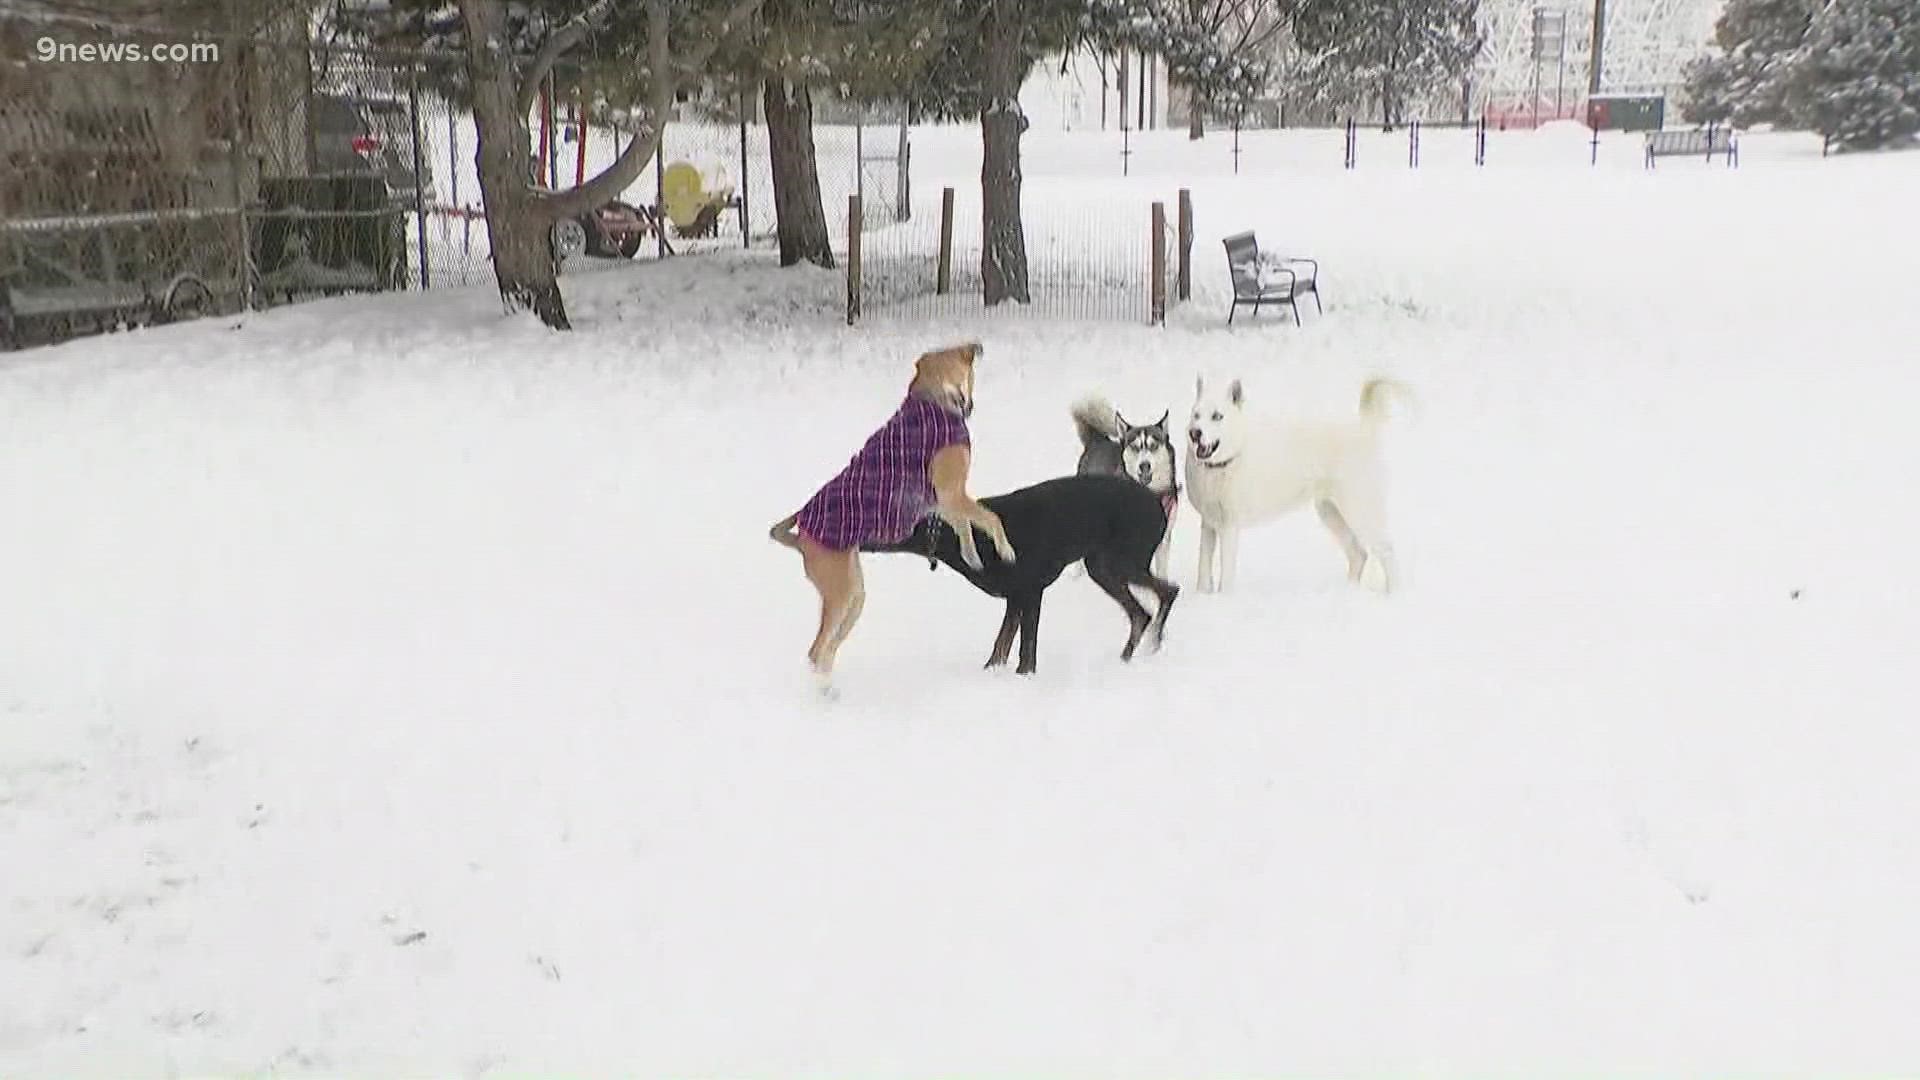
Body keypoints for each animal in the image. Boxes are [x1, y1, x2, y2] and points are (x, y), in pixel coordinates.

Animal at [864, 472, 1175, 668]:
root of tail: (1156, 501)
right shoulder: (1014, 597)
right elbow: (1000, 647)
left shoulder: (1030, 591)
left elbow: (1026, 652)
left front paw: (1023, 677)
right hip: (1101, 566)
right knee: (1141, 613)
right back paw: (1126, 658)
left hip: (1121, 560)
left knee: (1168, 592)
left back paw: (1152, 643)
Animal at [1175, 368, 1405, 588]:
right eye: (1196, 415)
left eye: (1217, 416)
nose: (1195, 433)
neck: (1222, 465)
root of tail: (1364, 428)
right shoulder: (1208, 523)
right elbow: (1203, 569)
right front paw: (1203, 595)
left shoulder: (1229, 526)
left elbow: (1226, 577)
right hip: (1330, 512)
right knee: (1359, 553)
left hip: (1359, 510)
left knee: (1387, 551)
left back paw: (1394, 593)